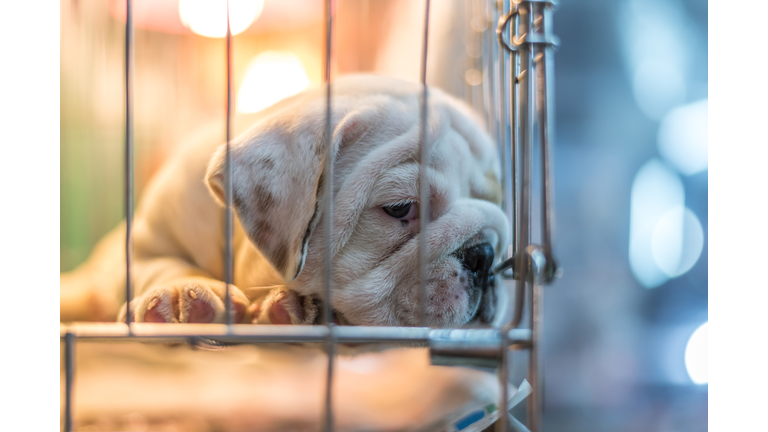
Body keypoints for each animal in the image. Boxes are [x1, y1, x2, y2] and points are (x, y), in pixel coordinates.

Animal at [61, 76, 510, 330]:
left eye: (491, 200)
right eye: (401, 208)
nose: (484, 255)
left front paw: (292, 306)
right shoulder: (144, 240)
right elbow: (158, 262)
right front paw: (178, 295)